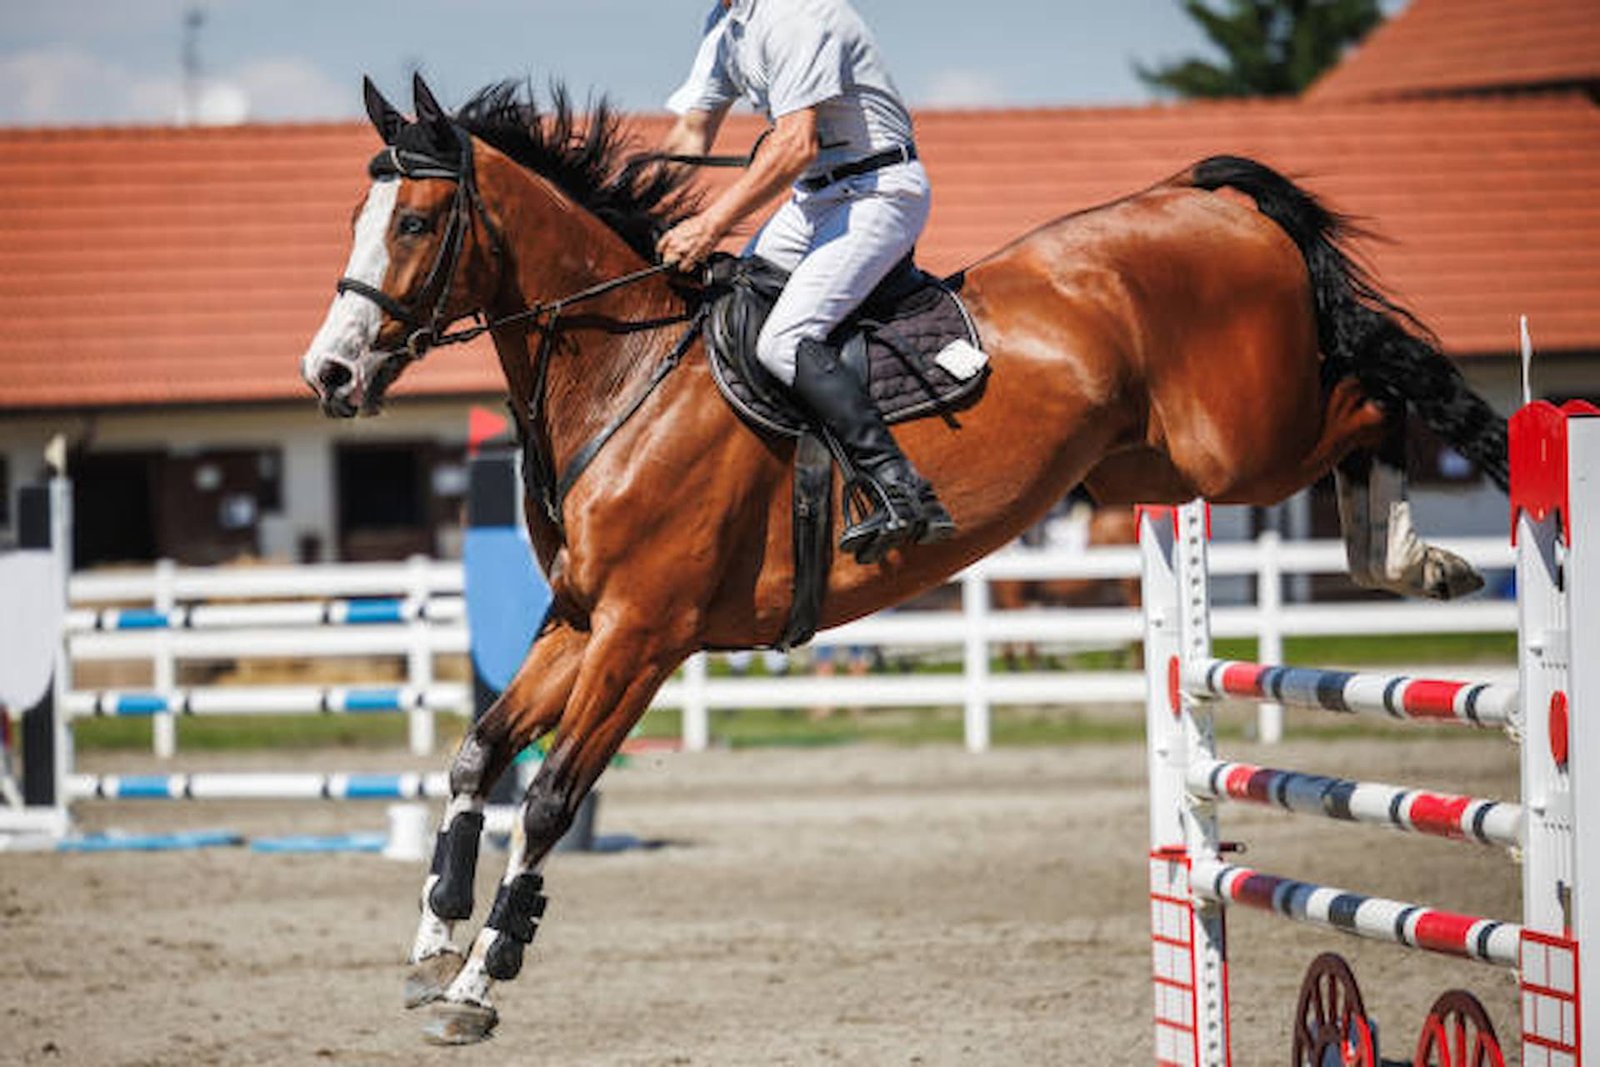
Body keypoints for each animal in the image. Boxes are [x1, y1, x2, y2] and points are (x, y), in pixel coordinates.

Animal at [302, 77, 1510, 1043]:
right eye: (355, 215)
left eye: (415, 222)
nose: (329, 373)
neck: (626, 373)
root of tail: (1202, 195)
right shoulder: (579, 619)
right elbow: (476, 754)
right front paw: (431, 940)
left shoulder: (643, 635)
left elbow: (551, 797)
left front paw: (479, 980)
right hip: (1153, 462)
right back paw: (1411, 555)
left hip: (1244, 440)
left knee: (1377, 390)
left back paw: (1424, 545)